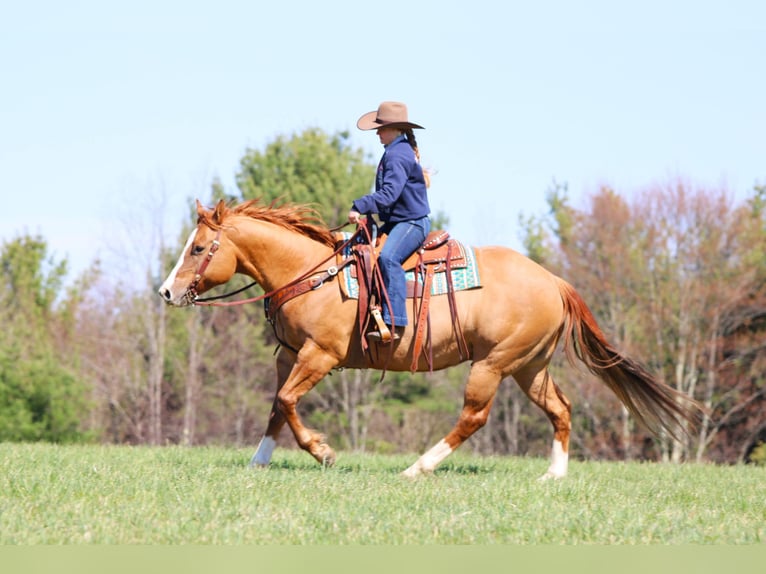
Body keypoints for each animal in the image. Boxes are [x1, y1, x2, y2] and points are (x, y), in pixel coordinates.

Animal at [159, 199, 704, 479]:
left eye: (200, 248)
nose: (166, 291)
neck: (311, 273)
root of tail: (554, 281)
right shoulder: (289, 354)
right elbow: (277, 404)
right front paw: (259, 460)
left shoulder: (319, 355)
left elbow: (290, 402)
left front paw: (323, 451)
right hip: (530, 367)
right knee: (561, 409)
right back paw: (554, 475)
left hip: (493, 365)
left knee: (473, 418)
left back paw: (418, 468)